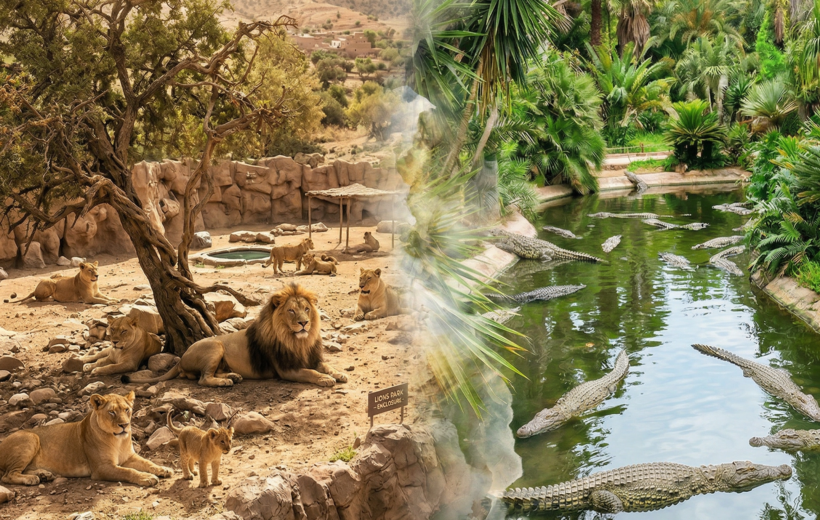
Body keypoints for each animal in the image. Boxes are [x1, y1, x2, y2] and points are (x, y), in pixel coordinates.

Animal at [0, 391, 172, 487]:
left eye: (127, 409)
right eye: (112, 412)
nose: (124, 425)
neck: (118, 440)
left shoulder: (129, 457)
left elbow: (148, 463)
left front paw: (163, 469)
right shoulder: (102, 468)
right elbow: (128, 471)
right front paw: (147, 477)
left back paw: (43, 474)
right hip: (31, 437)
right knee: (8, 475)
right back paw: (32, 479)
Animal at [123, 283, 347, 388]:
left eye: (306, 309)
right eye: (291, 311)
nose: (304, 323)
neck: (298, 341)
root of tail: (182, 358)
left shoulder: (312, 357)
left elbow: (325, 366)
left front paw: (338, 373)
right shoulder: (287, 369)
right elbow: (311, 372)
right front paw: (326, 379)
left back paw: (233, 376)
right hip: (215, 347)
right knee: (203, 379)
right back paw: (225, 382)